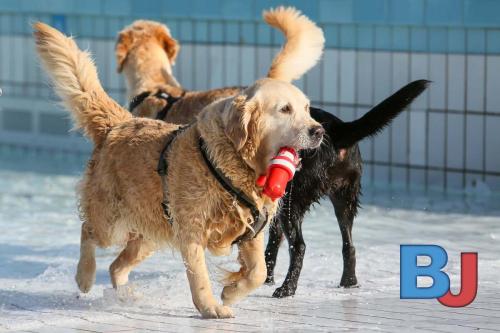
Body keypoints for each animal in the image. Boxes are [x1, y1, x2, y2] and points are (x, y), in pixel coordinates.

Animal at [266, 80, 430, 296]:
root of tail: (338, 130)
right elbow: (270, 246)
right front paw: (264, 279)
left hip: (294, 201)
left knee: (300, 246)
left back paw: (287, 289)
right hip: (344, 198)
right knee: (348, 245)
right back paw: (349, 282)